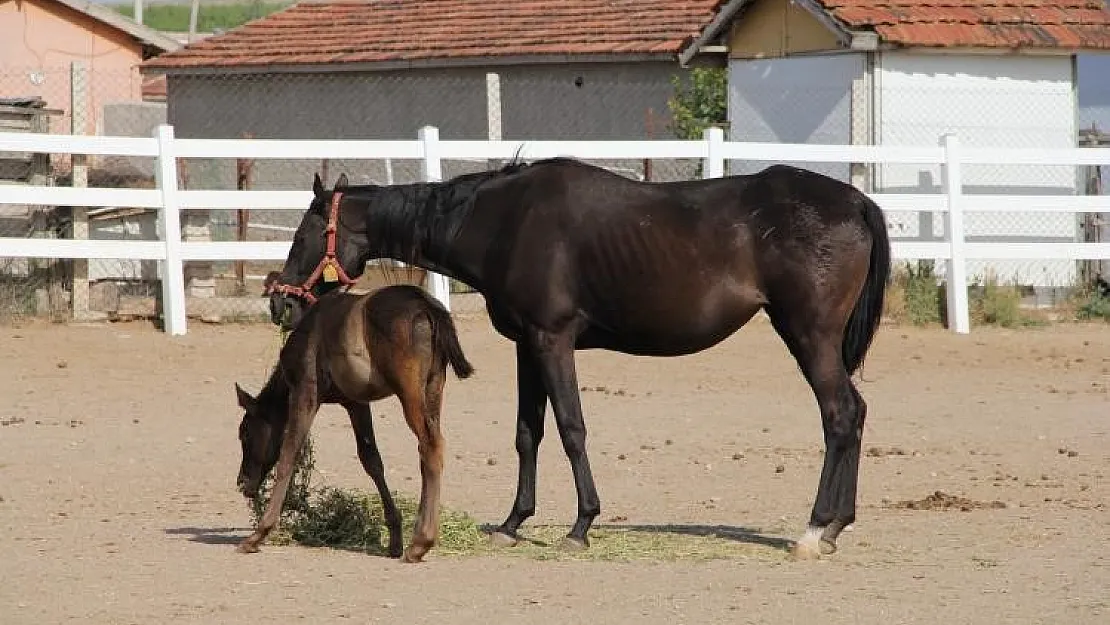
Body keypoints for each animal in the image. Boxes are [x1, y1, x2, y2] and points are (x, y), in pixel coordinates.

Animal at [268, 159, 892, 557]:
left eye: (303, 235)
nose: (280, 303)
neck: (503, 220)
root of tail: (855, 201)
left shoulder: (553, 339)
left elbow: (571, 427)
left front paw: (582, 523)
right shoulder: (527, 344)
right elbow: (528, 433)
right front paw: (513, 523)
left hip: (809, 336)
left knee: (839, 415)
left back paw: (814, 529)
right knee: (855, 415)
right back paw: (837, 526)